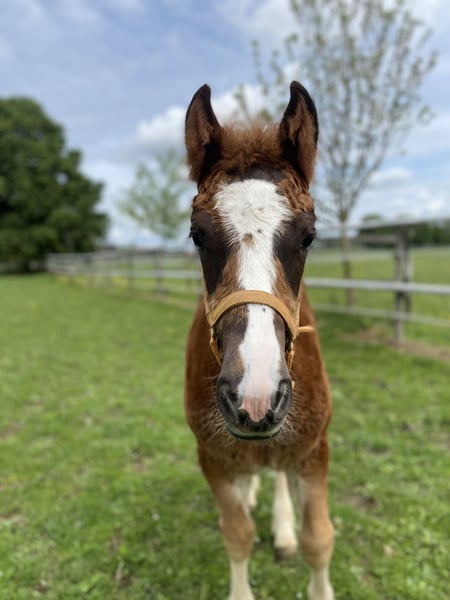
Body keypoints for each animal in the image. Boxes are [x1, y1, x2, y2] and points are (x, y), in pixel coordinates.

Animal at [184, 81, 334, 600]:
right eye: (197, 236)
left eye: (309, 236)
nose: (255, 395)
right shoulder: (211, 457)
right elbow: (236, 534)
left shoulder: (313, 450)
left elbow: (318, 539)